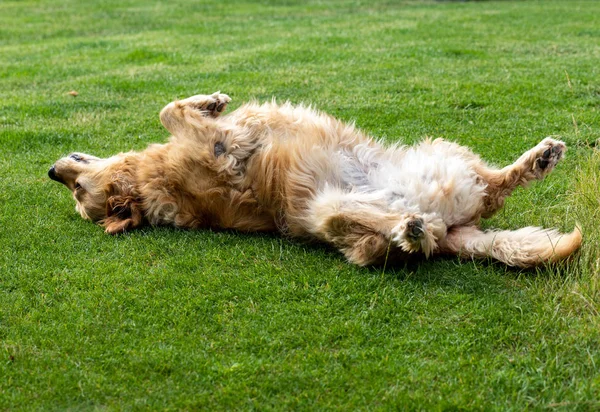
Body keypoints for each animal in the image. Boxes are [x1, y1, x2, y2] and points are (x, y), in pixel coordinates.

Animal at [49, 91, 584, 268]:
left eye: (75, 189)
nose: (51, 171)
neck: (149, 180)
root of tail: (452, 229)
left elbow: (169, 109)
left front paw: (210, 101)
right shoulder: (216, 149)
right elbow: (169, 111)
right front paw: (210, 103)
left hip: (441, 156)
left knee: (493, 187)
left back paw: (541, 158)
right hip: (332, 214)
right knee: (399, 241)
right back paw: (409, 232)